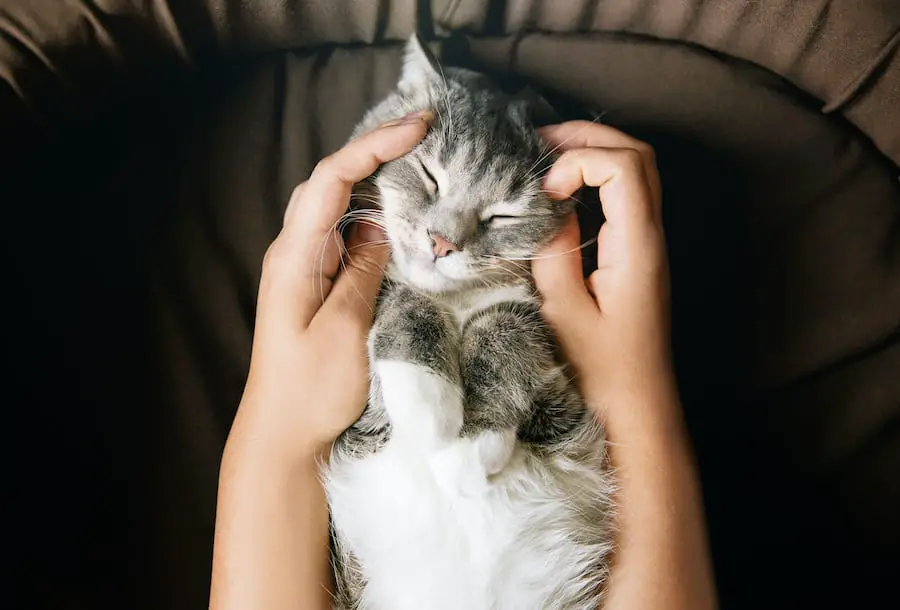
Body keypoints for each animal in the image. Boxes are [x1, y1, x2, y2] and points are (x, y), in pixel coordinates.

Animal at [320, 34, 616, 608]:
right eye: (430, 176)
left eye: (503, 214)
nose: (442, 243)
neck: (456, 300)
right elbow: (404, 302)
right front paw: (427, 400)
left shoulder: (561, 404)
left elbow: (505, 327)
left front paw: (472, 448)